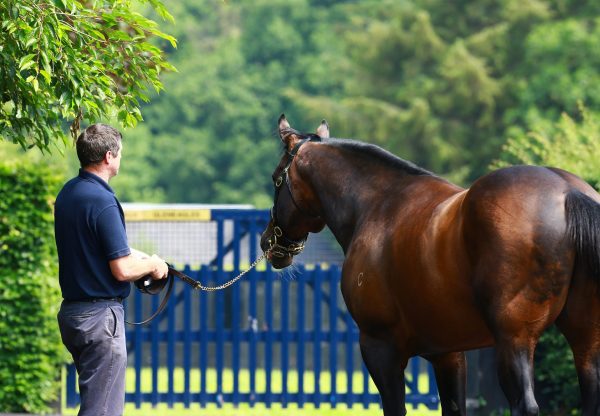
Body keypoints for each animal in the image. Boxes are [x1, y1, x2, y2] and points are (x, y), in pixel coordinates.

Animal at [260, 114, 600, 416]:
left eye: (277, 179)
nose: (268, 242)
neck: (377, 206)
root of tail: (567, 192)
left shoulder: (380, 347)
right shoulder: (447, 353)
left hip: (514, 340)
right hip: (586, 339)